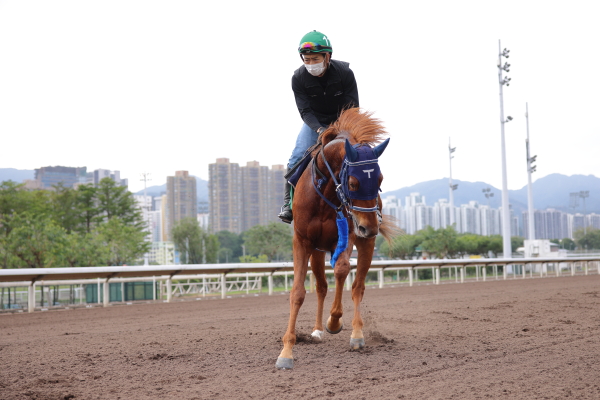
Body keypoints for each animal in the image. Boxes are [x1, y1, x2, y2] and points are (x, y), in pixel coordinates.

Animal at [276, 107, 398, 368]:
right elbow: (298, 292)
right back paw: (317, 330)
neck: (325, 193)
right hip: (317, 250)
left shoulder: (348, 233)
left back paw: (355, 333)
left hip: (364, 244)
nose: (370, 226)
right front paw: (286, 352)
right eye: (353, 182)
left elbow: (343, 270)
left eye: (380, 179)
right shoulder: (302, 241)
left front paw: (336, 320)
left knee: (356, 284)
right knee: (322, 286)